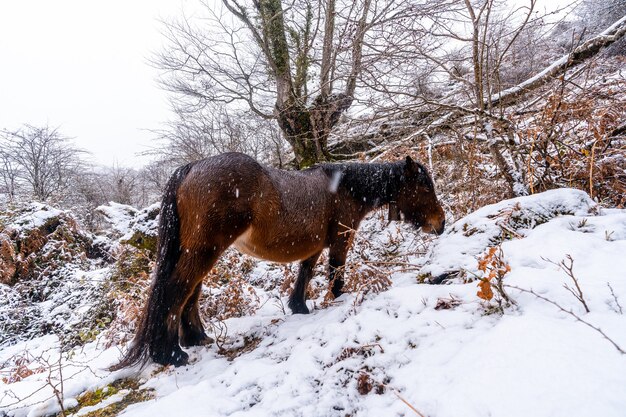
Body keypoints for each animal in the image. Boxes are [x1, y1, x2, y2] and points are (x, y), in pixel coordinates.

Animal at [112, 152, 444, 368]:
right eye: (425, 186)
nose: (440, 223)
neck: (344, 187)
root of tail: (192, 168)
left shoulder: (314, 246)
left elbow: (305, 273)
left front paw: (299, 306)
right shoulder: (340, 239)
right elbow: (336, 273)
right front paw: (340, 299)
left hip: (200, 251)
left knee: (190, 291)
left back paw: (196, 338)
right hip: (206, 249)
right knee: (177, 289)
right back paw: (169, 353)